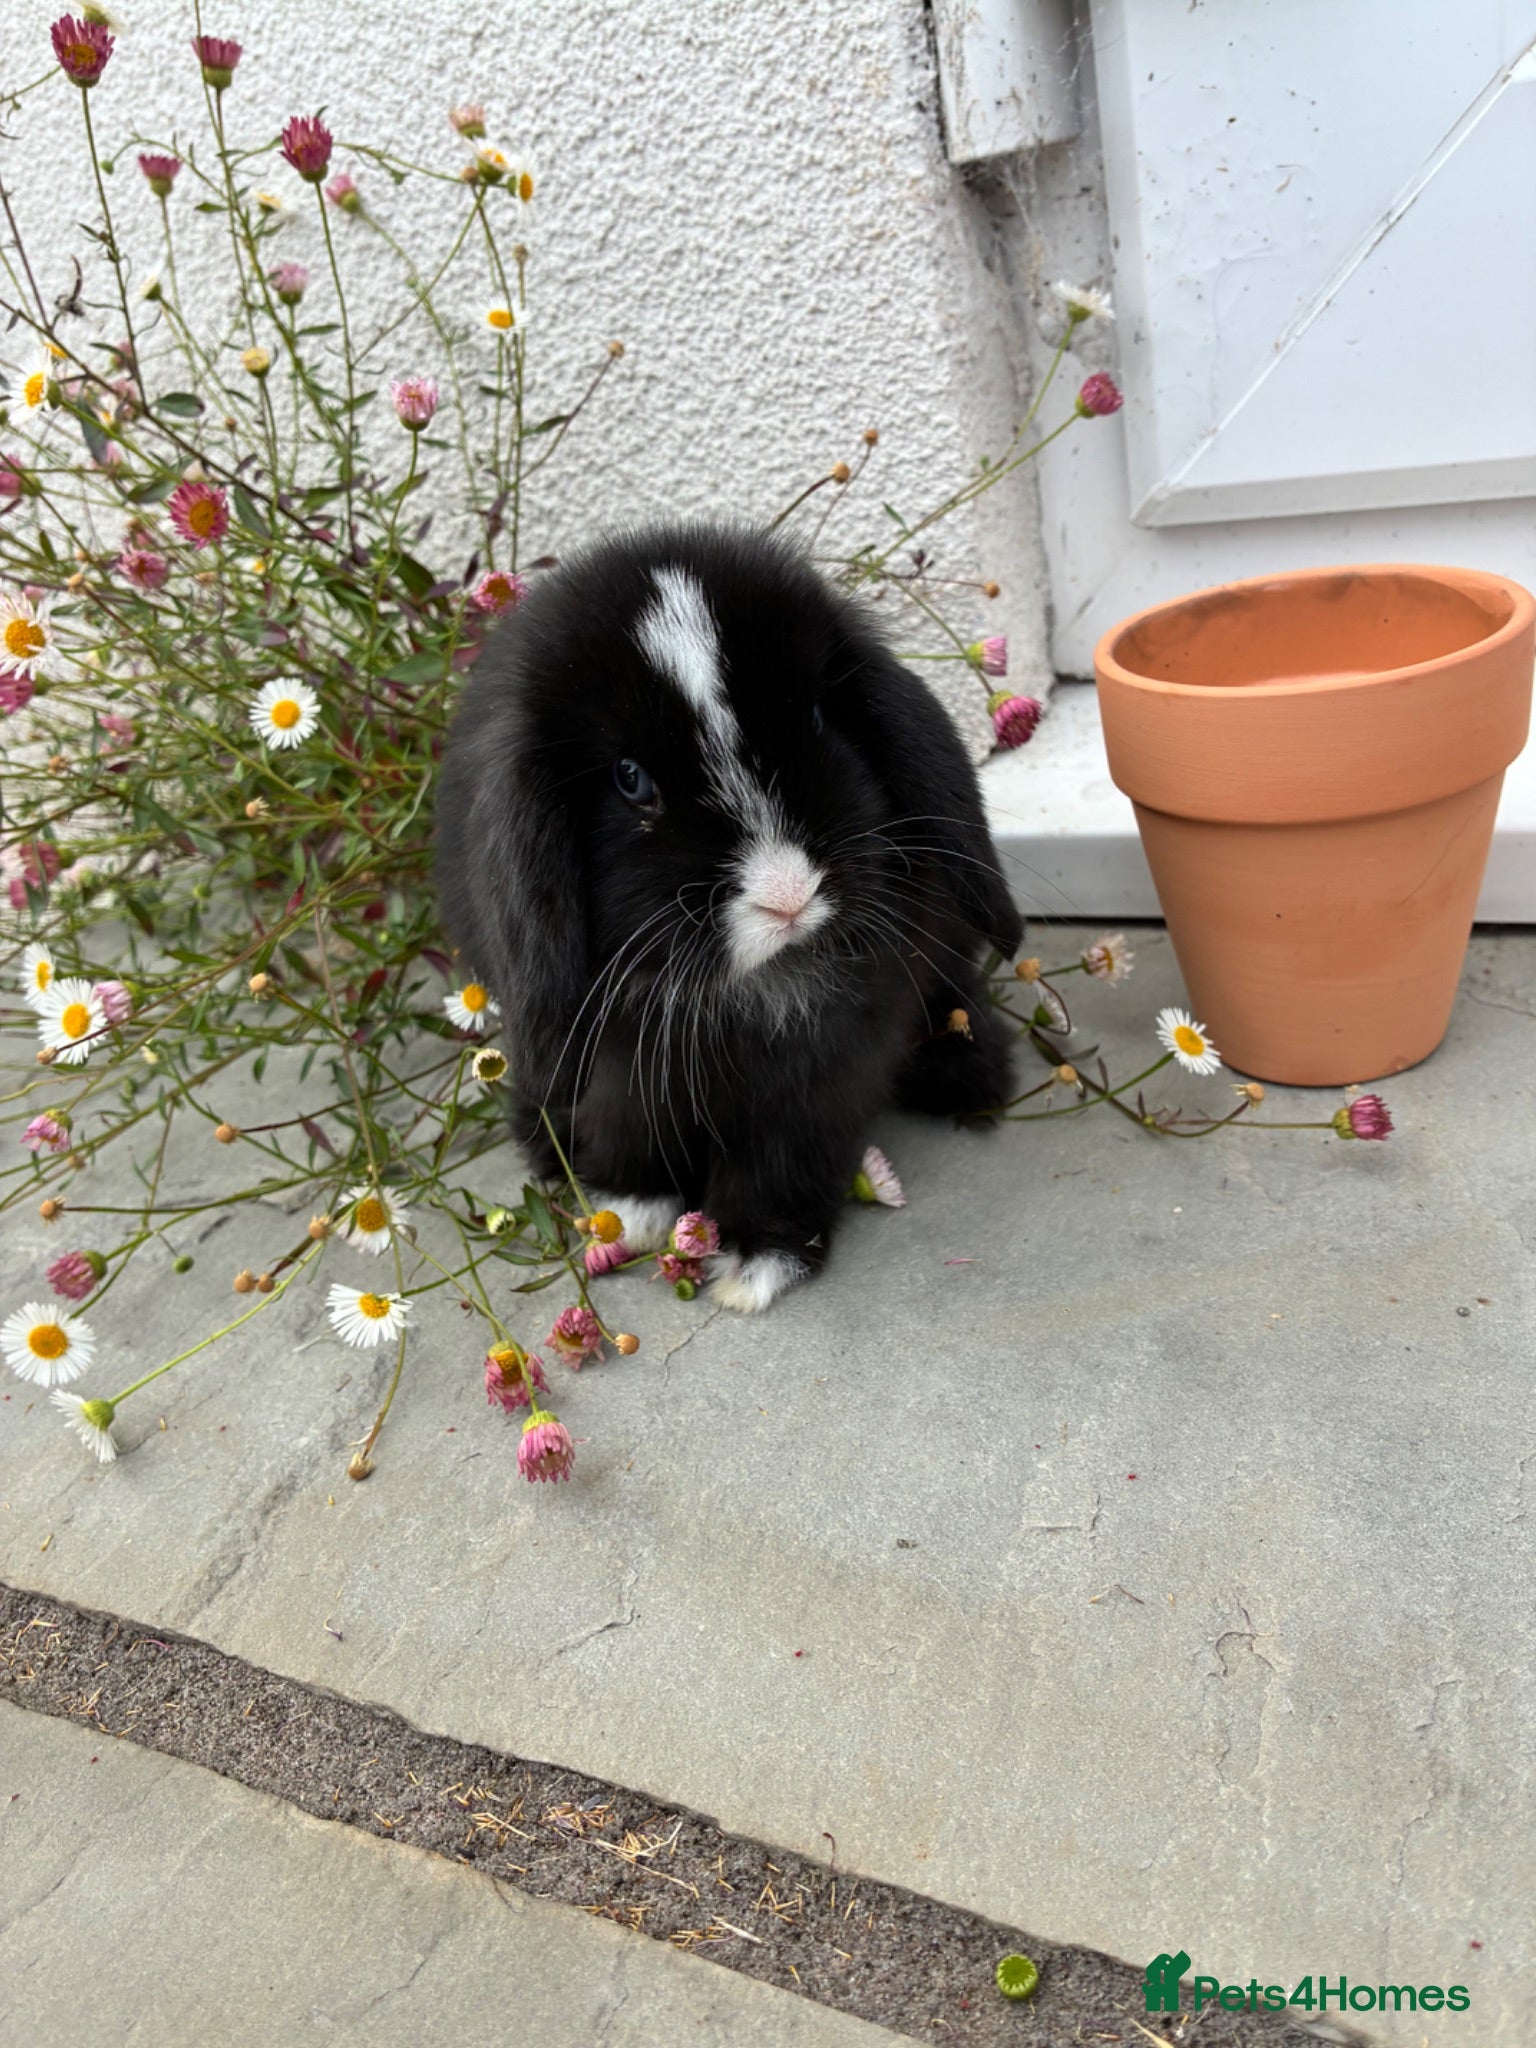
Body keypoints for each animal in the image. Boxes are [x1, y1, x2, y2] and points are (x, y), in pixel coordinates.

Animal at [434, 519, 1024, 1312]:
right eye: (630, 779)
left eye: (817, 718)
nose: (788, 894)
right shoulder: (618, 1065)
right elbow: (627, 1128)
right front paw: (633, 1213)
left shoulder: (822, 1068)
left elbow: (781, 1155)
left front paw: (756, 1263)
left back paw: (971, 1074)